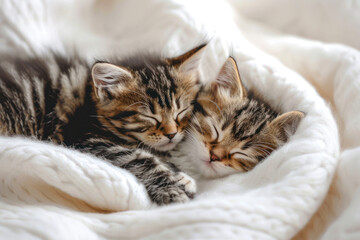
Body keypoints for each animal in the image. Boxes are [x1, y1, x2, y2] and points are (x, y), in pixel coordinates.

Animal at [0, 46, 205, 205]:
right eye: (148, 116)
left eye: (181, 111)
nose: (172, 134)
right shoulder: (84, 139)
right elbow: (137, 158)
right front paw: (171, 188)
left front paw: (181, 176)